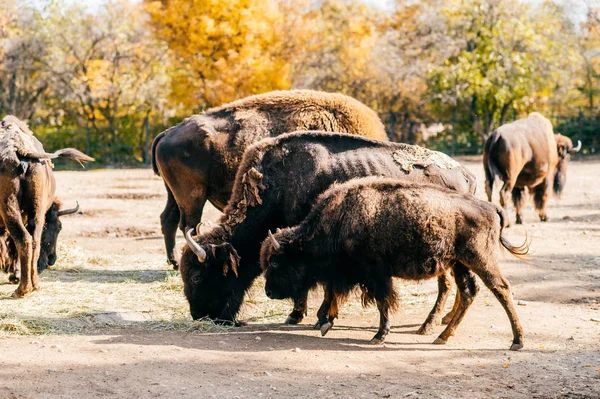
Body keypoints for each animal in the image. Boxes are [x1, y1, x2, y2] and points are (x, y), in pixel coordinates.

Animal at [0, 115, 94, 296]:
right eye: (59, 227)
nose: (52, 260)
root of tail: (19, 148)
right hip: (34, 209)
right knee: (32, 240)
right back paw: (33, 285)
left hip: (11, 208)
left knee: (22, 239)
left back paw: (21, 289)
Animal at [148, 90, 386, 270]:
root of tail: (167, 133)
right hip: (192, 196)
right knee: (189, 225)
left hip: (174, 194)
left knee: (168, 220)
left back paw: (174, 262)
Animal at [180, 132, 476, 334]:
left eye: (197, 276)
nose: (199, 315)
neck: (278, 184)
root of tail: (465, 174)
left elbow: (320, 284)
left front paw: (306, 316)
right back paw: (445, 320)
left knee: (445, 284)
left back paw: (429, 325)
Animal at [260, 177, 528, 350]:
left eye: (275, 263)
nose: (269, 292)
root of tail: (490, 206)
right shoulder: (347, 274)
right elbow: (332, 294)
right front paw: (325, 322)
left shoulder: (376, 274)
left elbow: (382, 302)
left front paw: (379, 336)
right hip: (460, 264)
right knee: (469, 292)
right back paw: (442, 337)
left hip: (480, 260)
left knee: (501, 289)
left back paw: (517, 341)